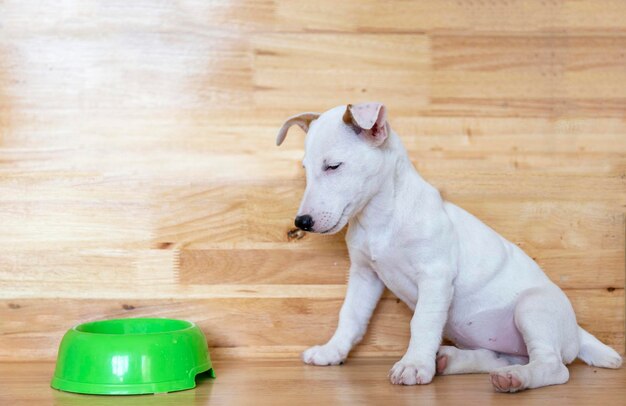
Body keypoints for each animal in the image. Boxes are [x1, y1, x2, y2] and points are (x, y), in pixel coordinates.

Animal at [276, 103, 620, 392]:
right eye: (305, 169)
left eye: (333, 166)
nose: (302, 222)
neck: (381, 219)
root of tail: (576, 330)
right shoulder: (364, 275)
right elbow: (350, 316)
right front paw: (332, 351)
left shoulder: (435, 276)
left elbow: (422, 322)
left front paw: (414, 365)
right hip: (506, 341)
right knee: (503, 357)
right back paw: (453, 361)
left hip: (533, 307)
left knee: (554, 367)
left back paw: (515, 379)